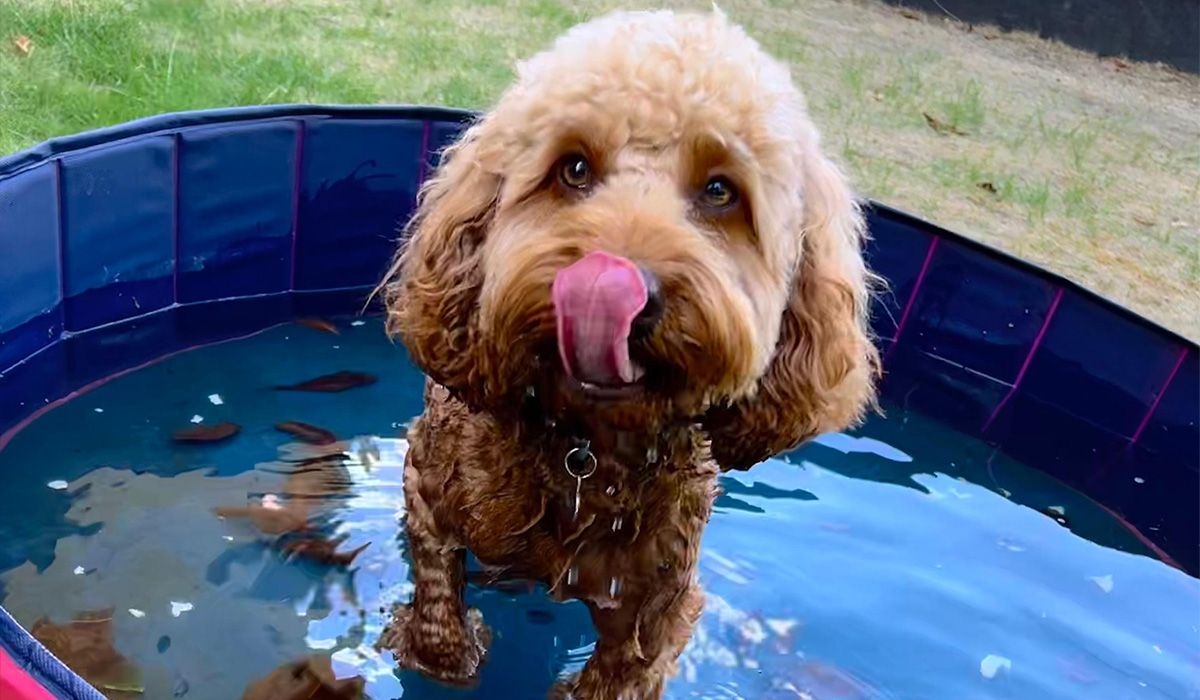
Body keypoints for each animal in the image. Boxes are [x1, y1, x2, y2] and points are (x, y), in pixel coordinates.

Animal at [374, 6, 883, 700]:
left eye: (721, 191)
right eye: (574, 168)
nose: (616, 289)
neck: (583, 450)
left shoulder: (656, 603)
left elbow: (621, 672)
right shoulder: (429, 489)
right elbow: (435, 598)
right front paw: (444, 658)